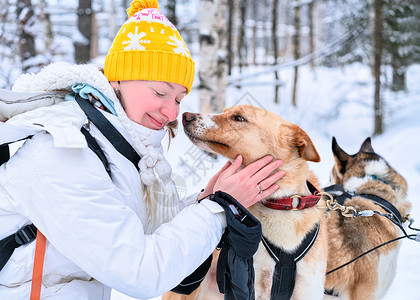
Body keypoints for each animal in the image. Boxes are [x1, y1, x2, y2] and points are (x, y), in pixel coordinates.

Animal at [164, 104, 328, 298]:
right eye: (225, 111)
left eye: (239, 118)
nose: (186, 115)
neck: (280, 206)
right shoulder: (252, 285)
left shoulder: (307, 289)